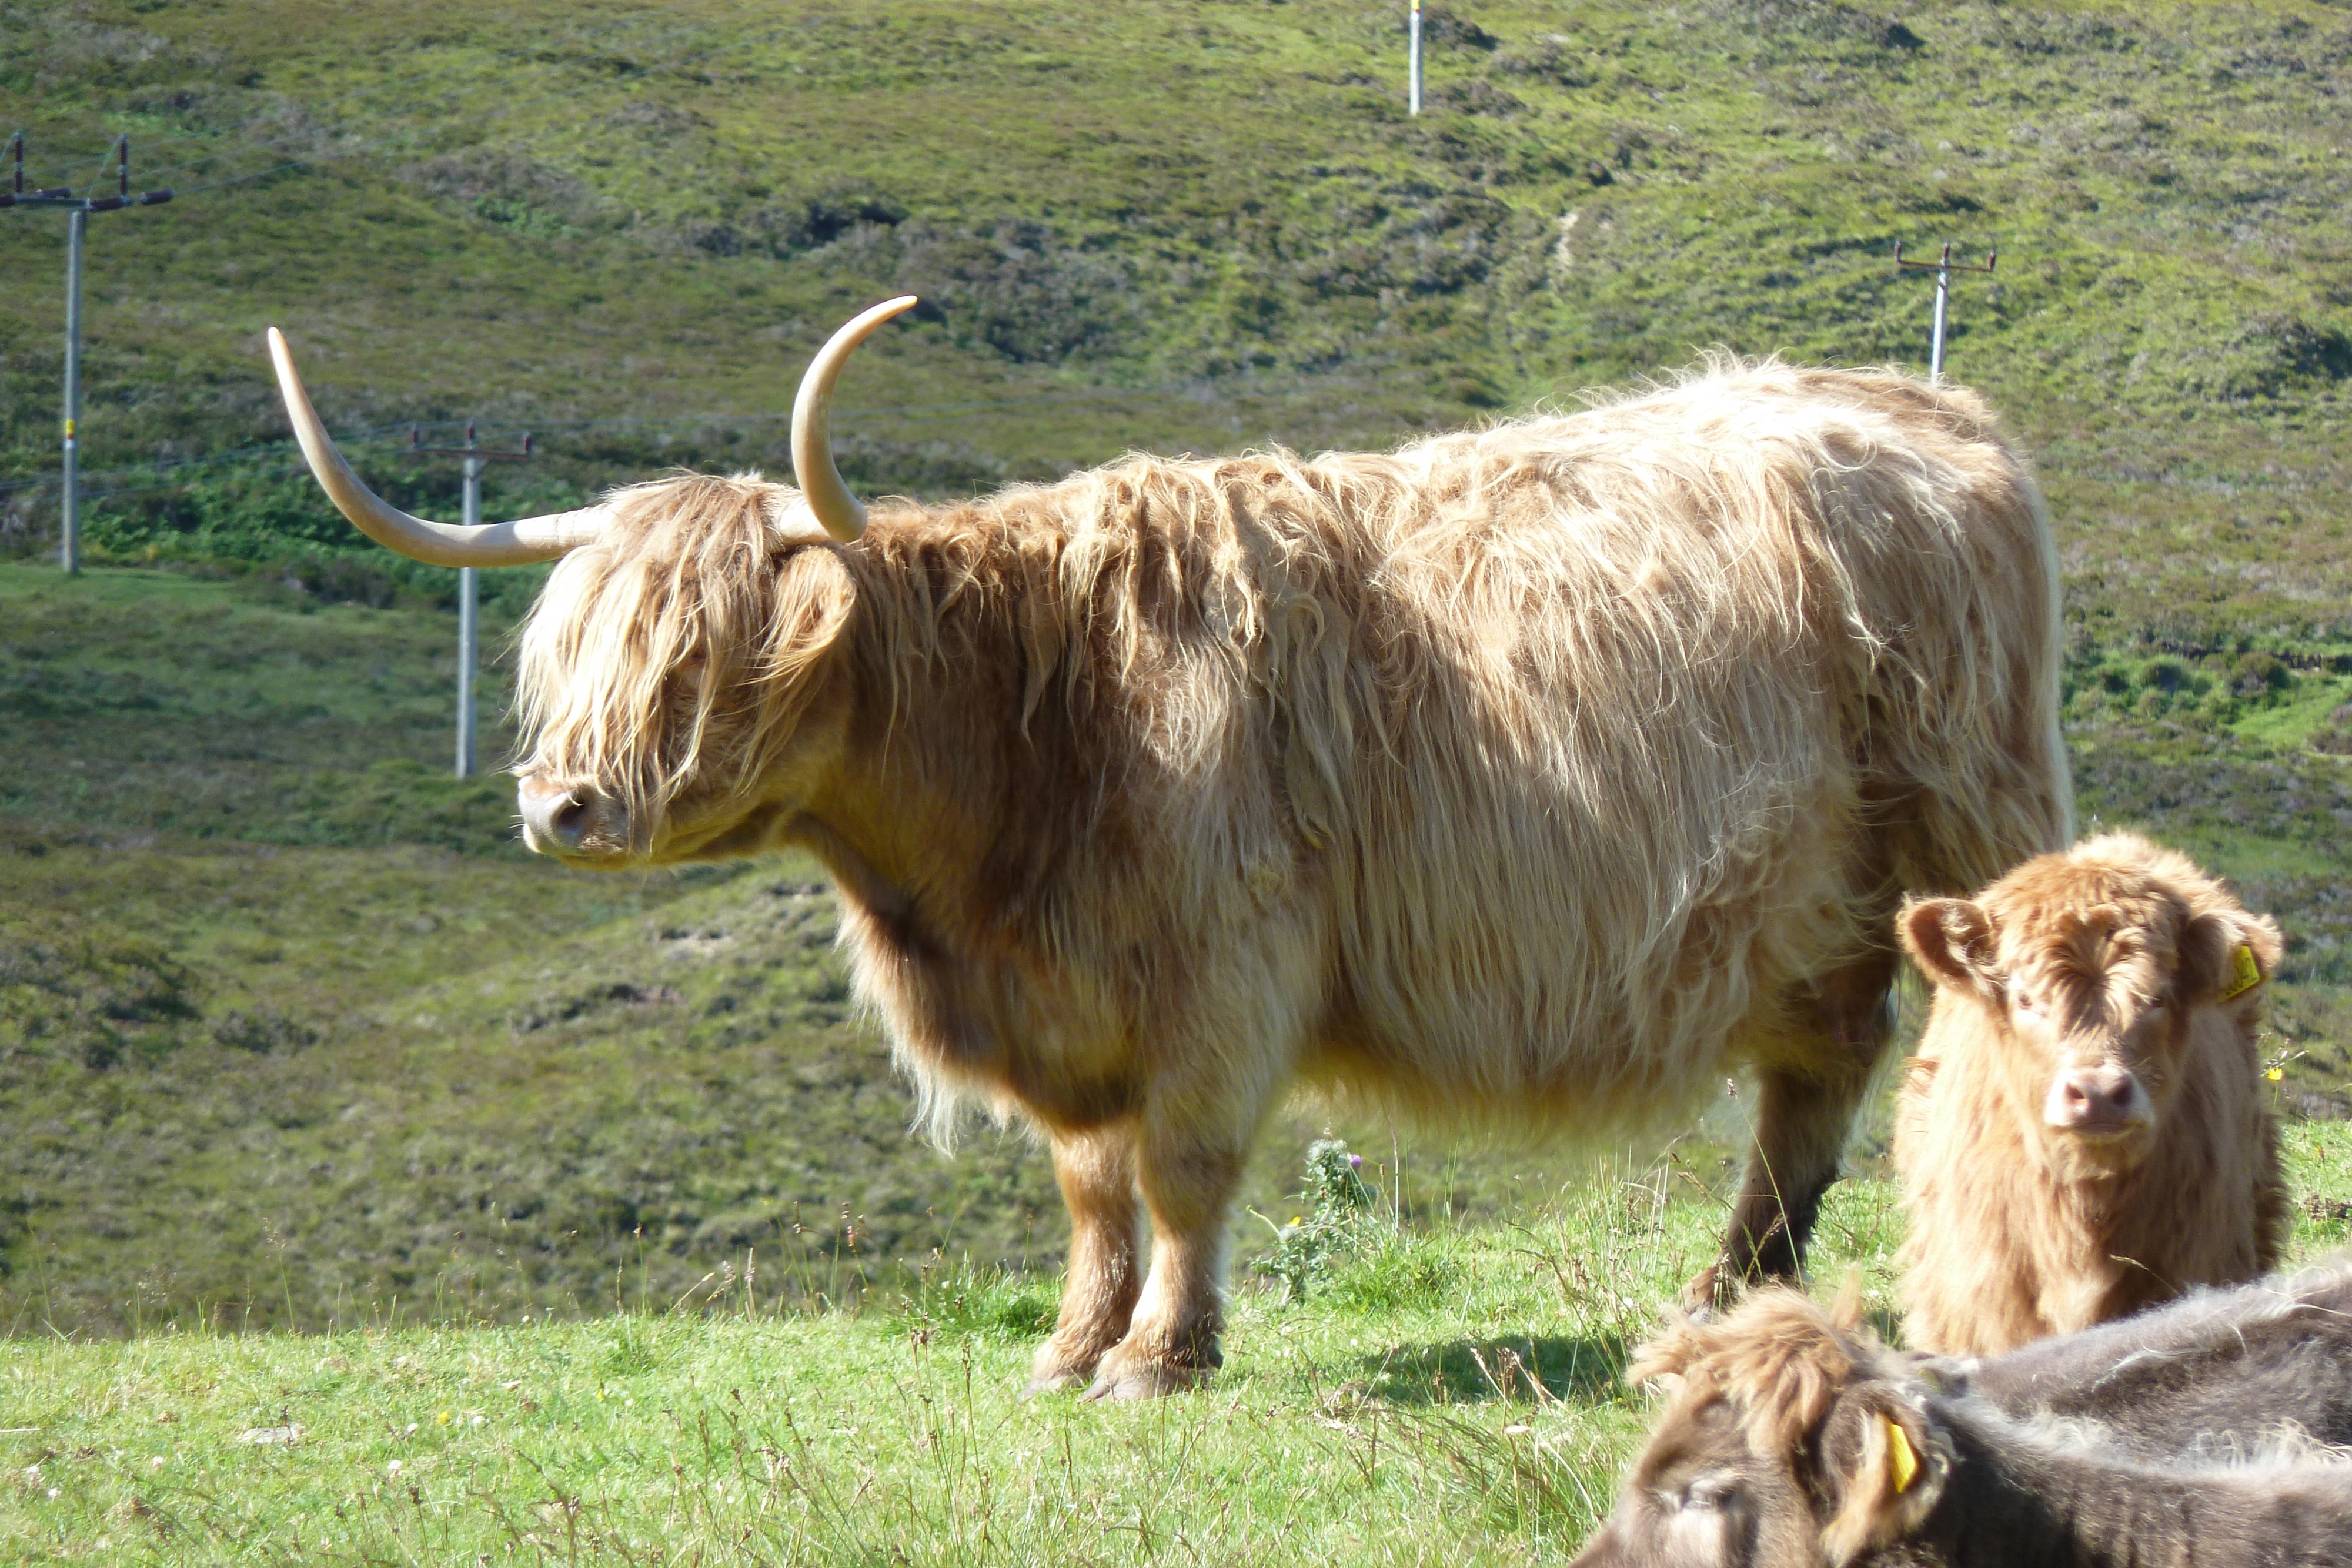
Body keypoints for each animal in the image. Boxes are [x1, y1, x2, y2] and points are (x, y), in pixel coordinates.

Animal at [267, 300, 2070, 1401]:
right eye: (569, 648)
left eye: (702, 649)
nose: (560, 807)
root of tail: (1932, 412)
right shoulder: (1070, 1011)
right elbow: (1090, 1184)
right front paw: (1073, 1345)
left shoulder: (1228, 966)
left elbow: (1186, 1168)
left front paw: (1161, 1355)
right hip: (1816, 907)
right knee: (1814, 1073)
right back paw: (1720, 1297)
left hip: (1969, 825)